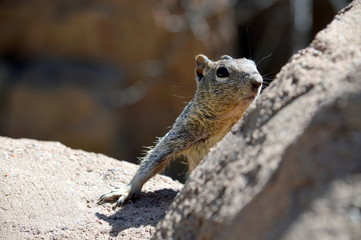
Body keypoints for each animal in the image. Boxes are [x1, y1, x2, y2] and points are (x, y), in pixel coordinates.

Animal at [97, 54, 262, 208]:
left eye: (253, 64)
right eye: (222, 72)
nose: (258, 81)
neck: (225, 121)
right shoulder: (180, 133)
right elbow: (152, 160)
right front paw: (127, 189)